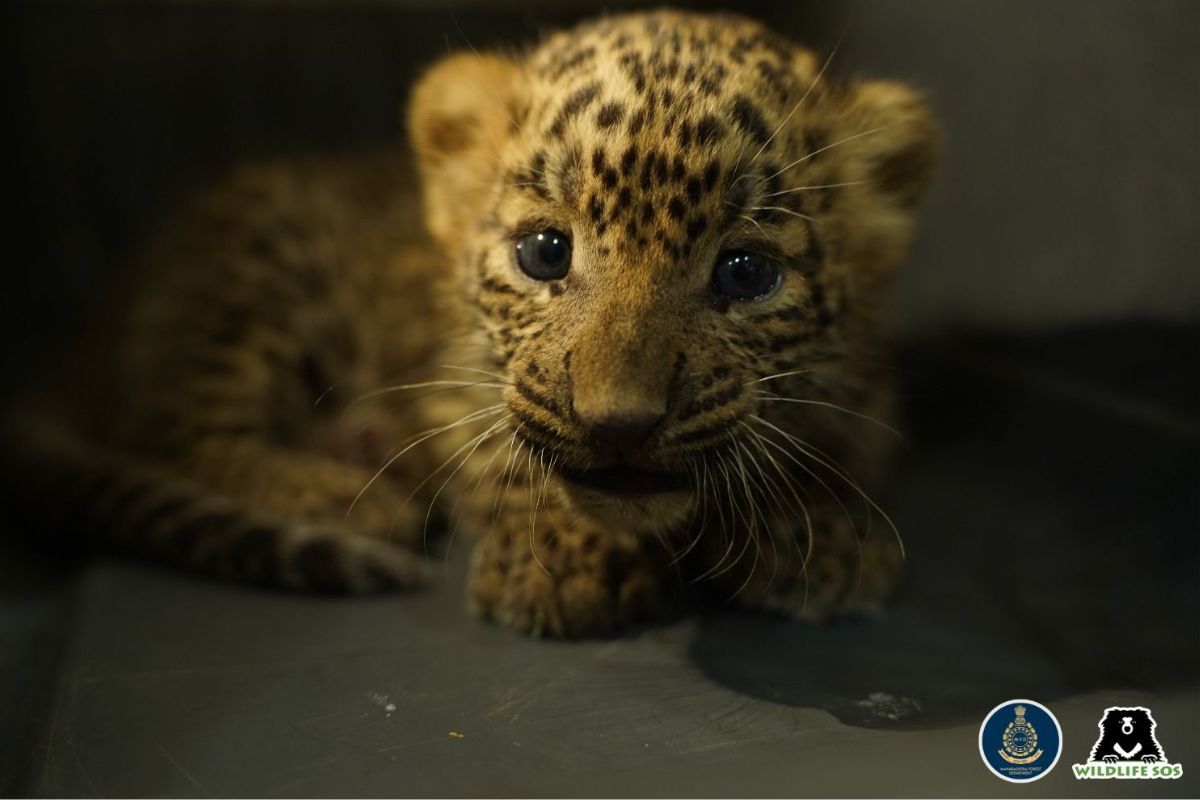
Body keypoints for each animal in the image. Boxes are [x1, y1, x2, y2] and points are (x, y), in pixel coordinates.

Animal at [3, 9, 939, 637]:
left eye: (747, 274)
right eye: (544, 254)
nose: (620, 425)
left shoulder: (871, 391)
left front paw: (816, 528)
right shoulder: (446, 373)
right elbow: (500, 444)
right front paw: (562, 553)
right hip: (255, 271)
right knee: (171, 431)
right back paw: (342, 492)